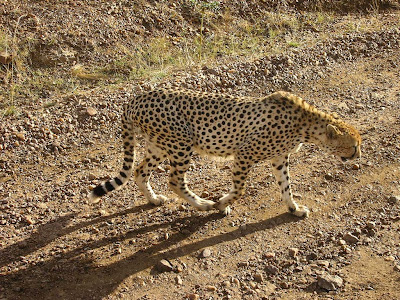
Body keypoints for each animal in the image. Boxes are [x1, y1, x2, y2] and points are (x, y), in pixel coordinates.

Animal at [88, 88, 362, 217]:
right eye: (354, 145)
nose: (358, 155)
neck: (306, 123)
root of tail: (136, 98)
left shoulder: (279, 158)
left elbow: (286, 186)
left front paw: (294, 208)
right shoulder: (244, 155)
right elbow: (239, 189)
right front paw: (221, 204)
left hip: (160, 145)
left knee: (139, 171)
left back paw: (154, 199)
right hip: (181, 143)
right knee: (175, 180)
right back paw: (203, 204)